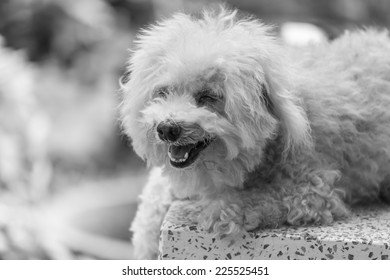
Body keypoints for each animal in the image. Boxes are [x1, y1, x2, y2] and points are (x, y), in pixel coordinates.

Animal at [120, 7, 390, 260]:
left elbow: (262, 195)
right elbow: (153, 199)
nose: (167, 128)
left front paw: (220, 209)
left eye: (207, 97)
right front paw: (145, 242)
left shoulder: (312, 190)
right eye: (163, 92)